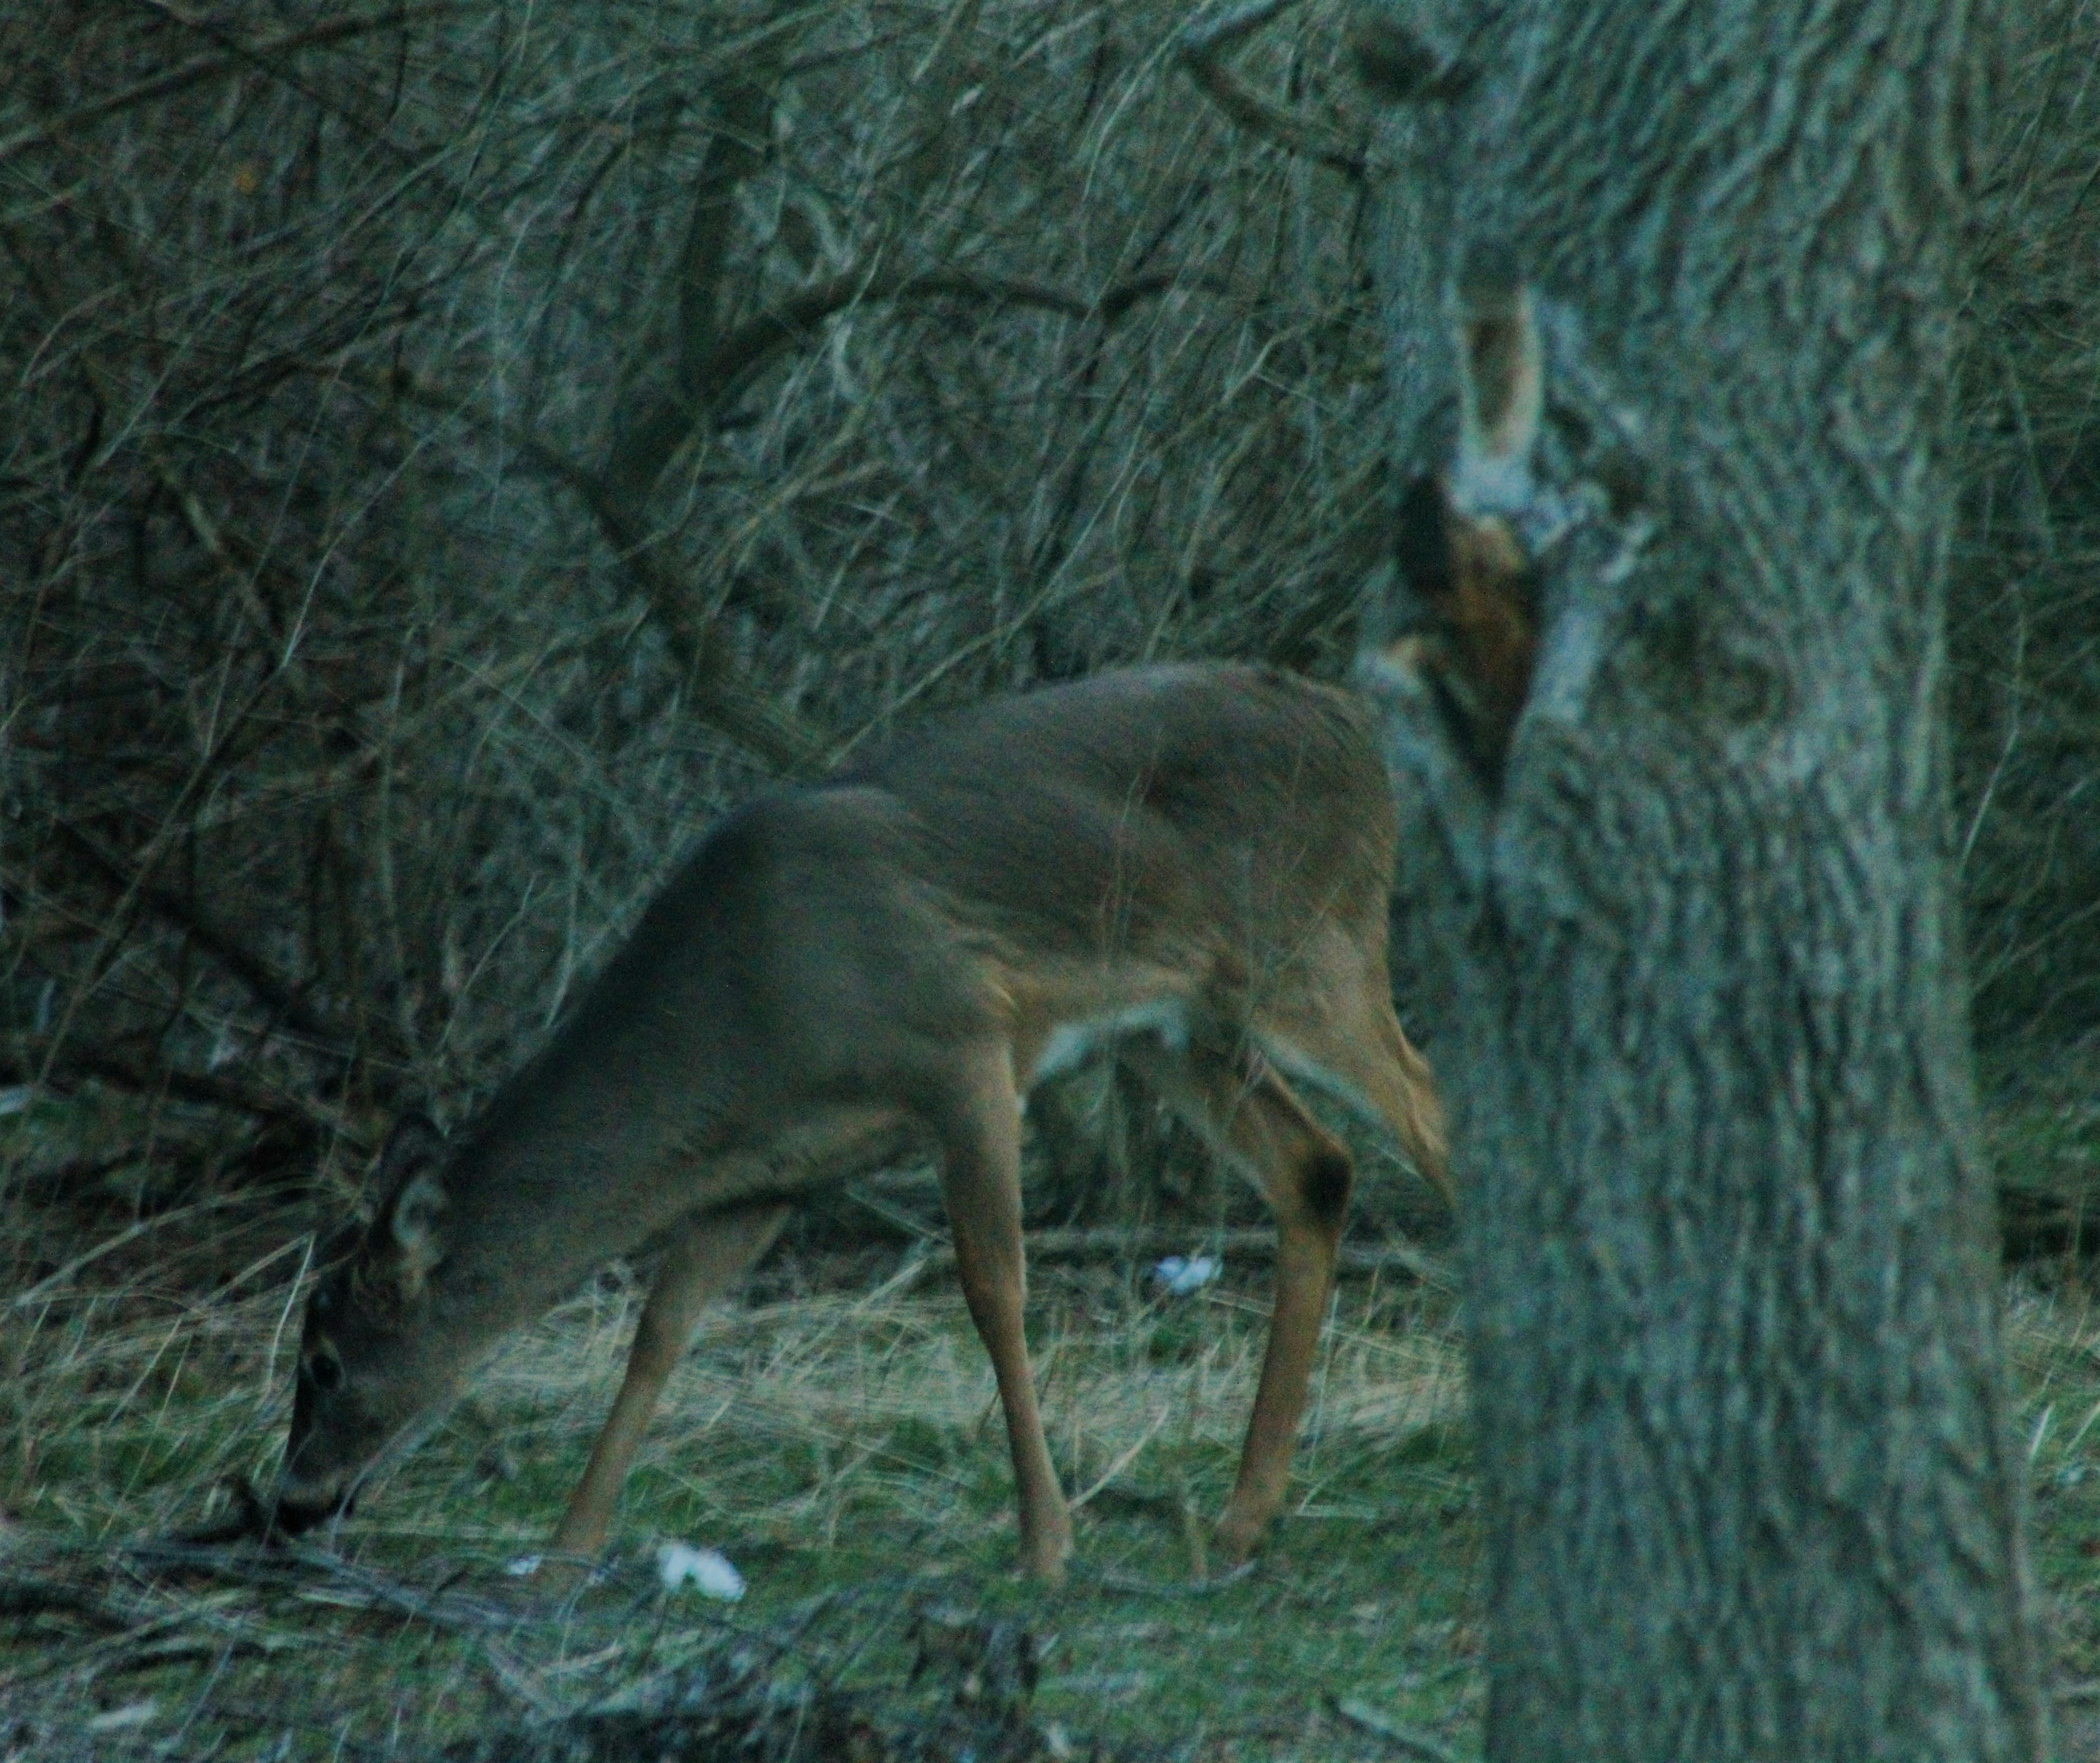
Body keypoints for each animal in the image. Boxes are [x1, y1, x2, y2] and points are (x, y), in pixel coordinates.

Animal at [271, 659, 1453, 1586]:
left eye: (323, 1359)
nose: (289, 1504)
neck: (751, 1013)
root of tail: (1356, 725)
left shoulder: (964, 1046)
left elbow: (994, 1293)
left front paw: (1046, 1544)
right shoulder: (770, 1170)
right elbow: (661, 1332)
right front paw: (565, 1554)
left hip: (1313, 947)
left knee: (1440, 1118)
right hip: (1173, 1025)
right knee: (1317, 1166)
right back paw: (1245, 1516)